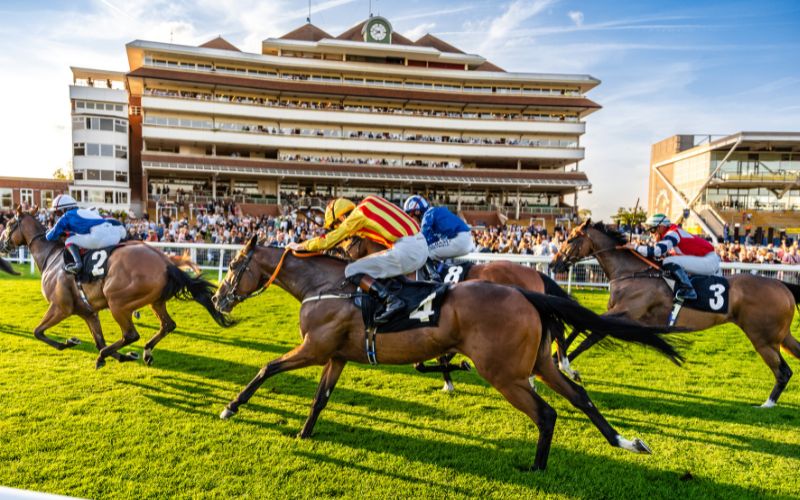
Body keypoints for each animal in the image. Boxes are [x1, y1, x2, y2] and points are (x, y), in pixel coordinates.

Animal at [0, 206, 231, 368]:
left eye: (9, 223)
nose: (2, 243)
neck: (52, 257)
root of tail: (165, 262)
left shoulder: (60, 307)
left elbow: (38, 332)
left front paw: (68, 343)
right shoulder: (88, 313)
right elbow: (99, 341)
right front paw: (122, 356)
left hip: (117, 302)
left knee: (131, 334)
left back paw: (107, 356)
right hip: (155, 301)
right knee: (168, 325)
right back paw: (146, 352)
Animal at [338, 236, 580, 384]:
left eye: (348, 243)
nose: (339, 255)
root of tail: (536, 272)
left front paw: (450, 377)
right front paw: (451, 373)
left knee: (556, 328)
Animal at [552, 221, 800, 408]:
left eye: (571, 239)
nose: (555, 265)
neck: (632, 273)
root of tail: (783, 286)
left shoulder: (624, 314)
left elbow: (587, 332)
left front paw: (566, 367)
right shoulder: (619, 316)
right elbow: (582, 326)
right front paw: (557, 359)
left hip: (763, 339)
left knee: (783, 371)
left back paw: (767, 404)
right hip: (781, 337)